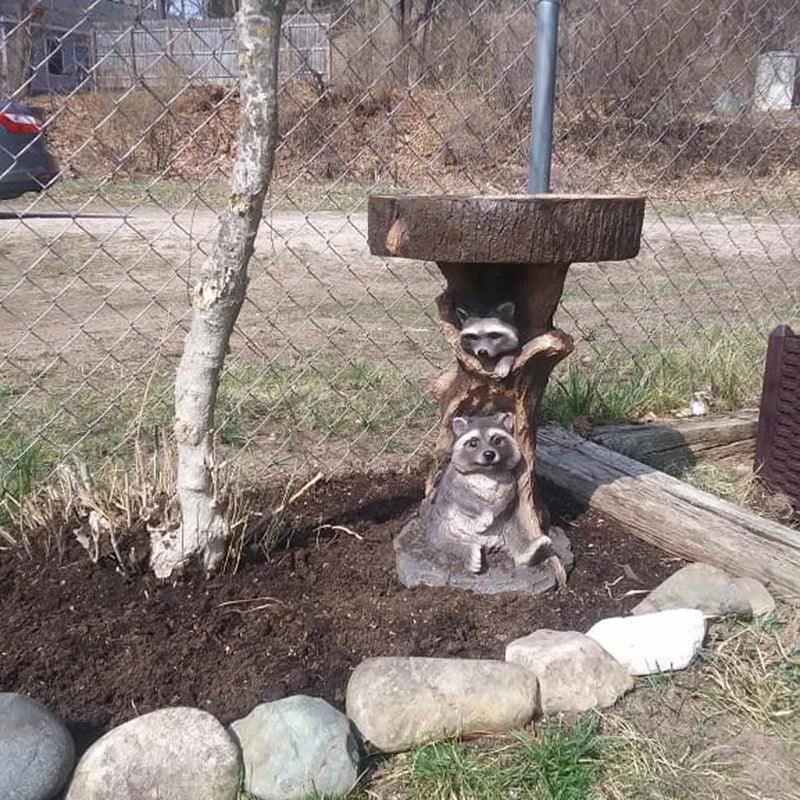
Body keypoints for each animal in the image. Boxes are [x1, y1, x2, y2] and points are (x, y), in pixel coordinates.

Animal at [422, 412, 521, 573]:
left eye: (497, 440)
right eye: (473, 443)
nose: (489, 454)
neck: (487, 471)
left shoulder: (509, 480)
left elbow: (507, 498)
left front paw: (496, 510)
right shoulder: (453, 480)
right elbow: (464, 499)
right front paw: (484, 513)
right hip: (440, 527)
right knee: (444, 543)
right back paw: (468, 552)